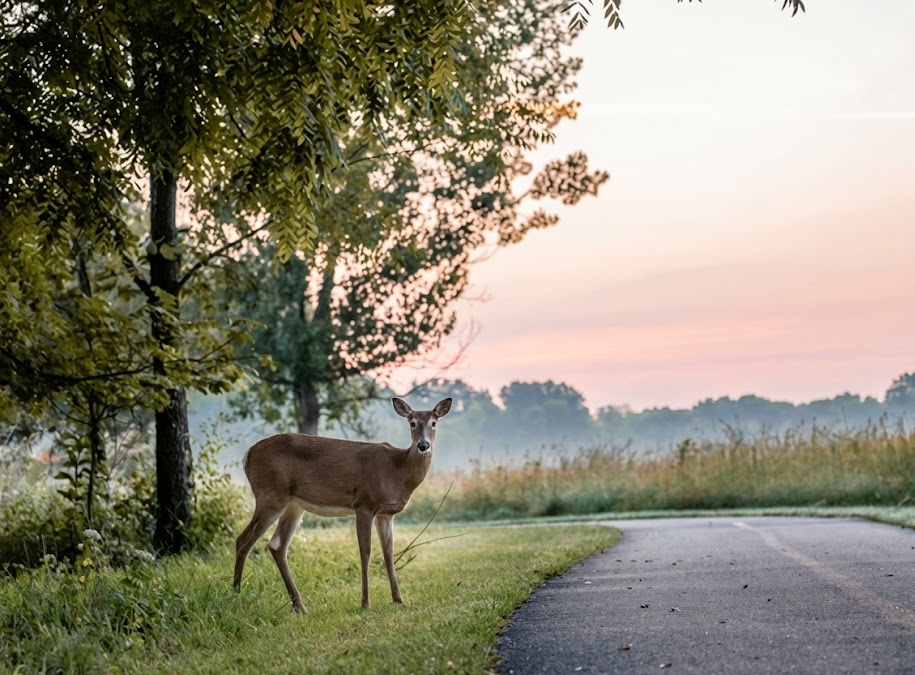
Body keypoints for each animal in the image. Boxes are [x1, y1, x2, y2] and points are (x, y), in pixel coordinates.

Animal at [233, 397, 452, 611]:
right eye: (412, 423)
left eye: (434, 423)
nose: (423, 445)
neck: (398, 470)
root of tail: (247, 455)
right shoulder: (364, 504)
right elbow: (365, 552)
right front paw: (365, 603)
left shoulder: (386, 513)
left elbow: (388, 553)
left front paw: (398, 599)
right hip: (271, 494)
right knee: (243, 540)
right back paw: (236, 594)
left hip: (293, 505)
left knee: (277, 545)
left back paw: (299, 606)